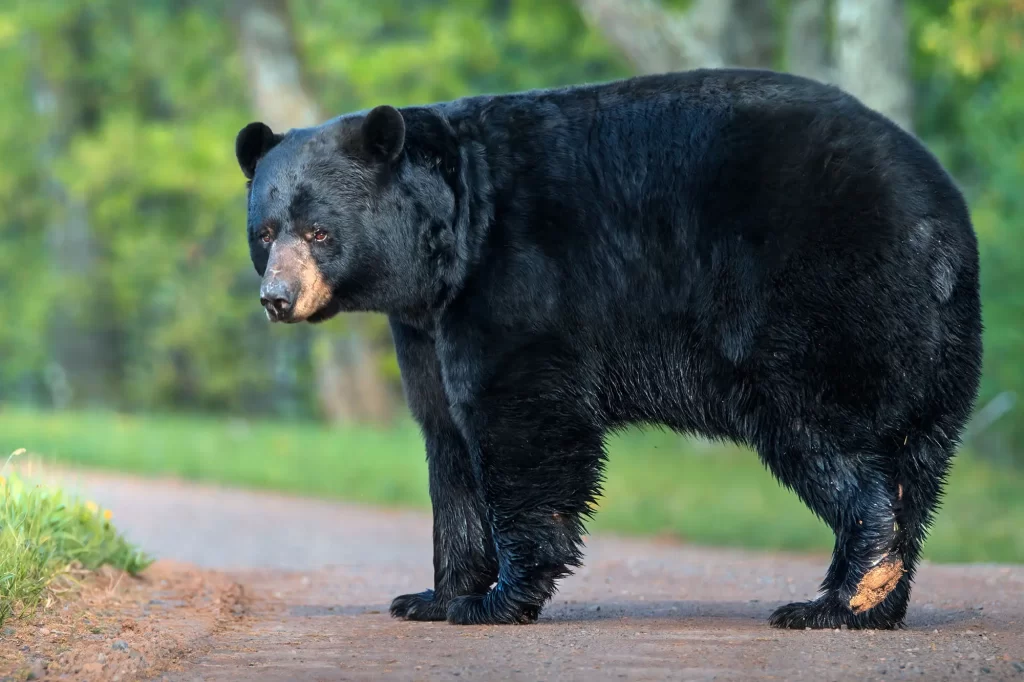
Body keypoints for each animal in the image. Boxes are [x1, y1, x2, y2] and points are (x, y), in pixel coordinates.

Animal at [234, 69, 983, 626]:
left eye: (320, 232)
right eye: (266, 232)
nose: (276, 298)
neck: (451, 239)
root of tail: (945, 220)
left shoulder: (516, 278)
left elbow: (520, 420)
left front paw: (499, 598)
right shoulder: (424, 325)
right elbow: (446, 439)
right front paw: (433, 595)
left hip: (819, 299)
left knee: (827, 437)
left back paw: (838, 598)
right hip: (931, 348)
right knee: (916, 461)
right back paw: (877, 602)